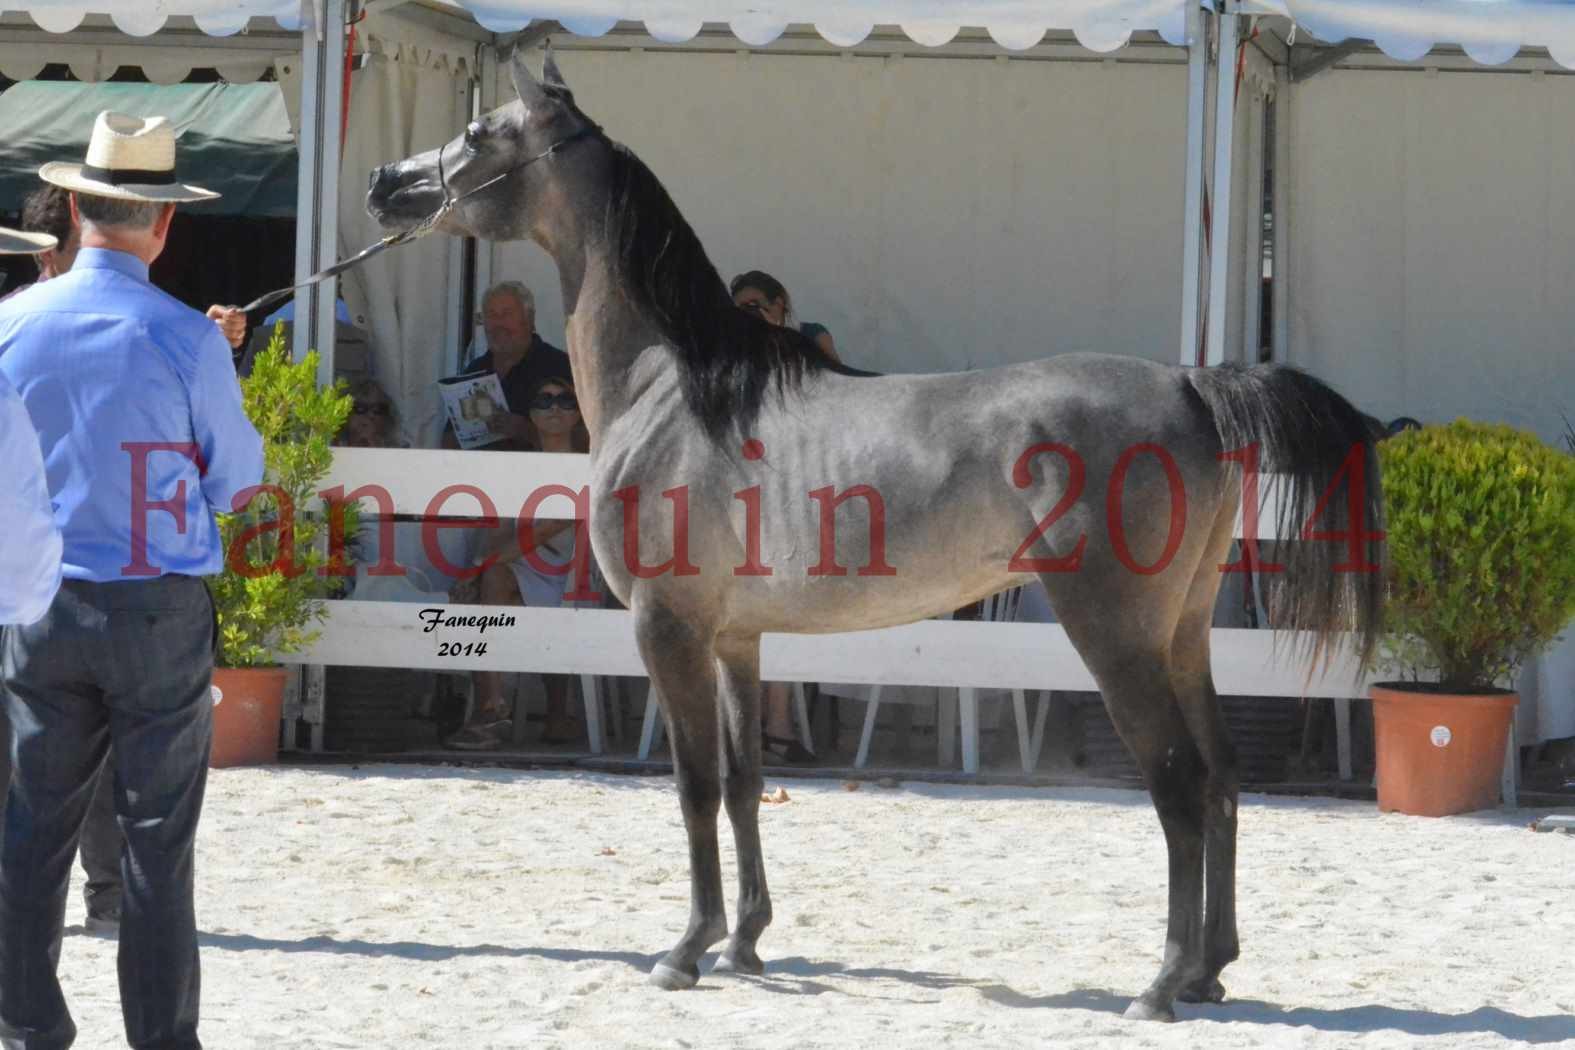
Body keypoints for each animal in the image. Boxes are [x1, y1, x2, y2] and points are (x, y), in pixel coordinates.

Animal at [368, 51, 1379, 1026]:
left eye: (478, 132)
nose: (385, 182)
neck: (672, 388)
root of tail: (1190, 385)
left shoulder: (668, 629)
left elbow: (693, 786)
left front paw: (684, 952)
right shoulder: (736, 639)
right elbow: (745, 780)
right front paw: (744, 944)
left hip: (1114, 635)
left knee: (1175, 784)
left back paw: (1159, 984)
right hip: (1182, 633)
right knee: (1220, 776)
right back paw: (1209, 970)